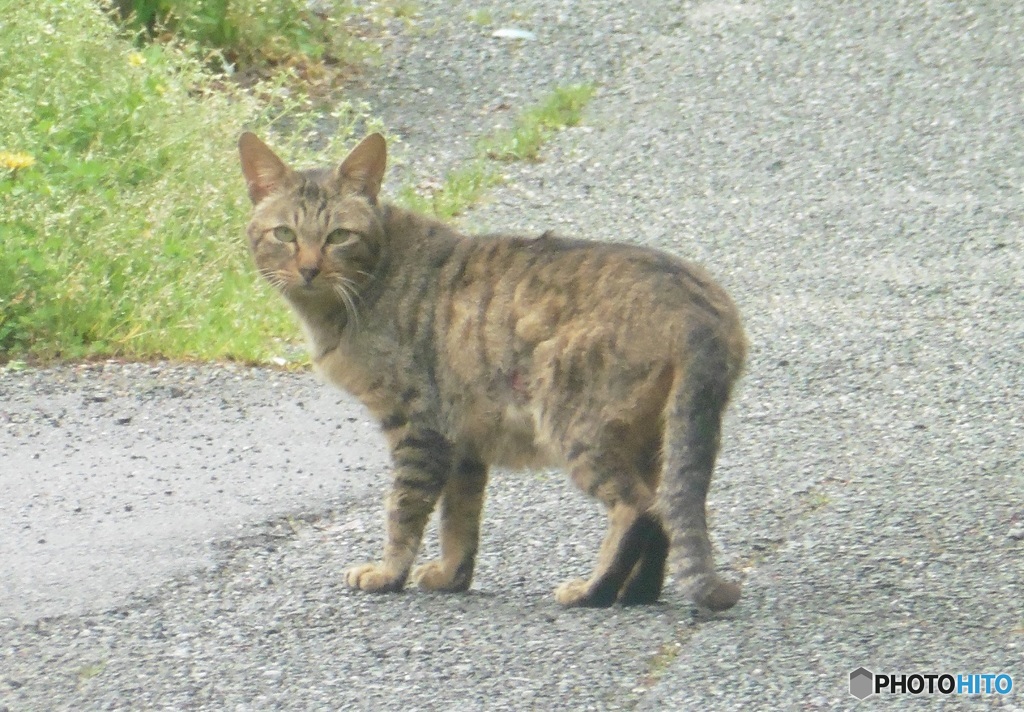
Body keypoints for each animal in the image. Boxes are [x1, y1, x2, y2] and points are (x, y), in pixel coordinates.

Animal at [237, 131, 745, 610]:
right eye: (285, 235)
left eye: (338, 236)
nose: (308, 269)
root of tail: (702, 311)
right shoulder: (463, 438)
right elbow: (460, 519)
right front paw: (451, 576)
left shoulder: (417, 424)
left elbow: (404, 510)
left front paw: (387, 573)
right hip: (652, 438)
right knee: (664, 511)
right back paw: (637, 592)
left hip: (576, 425)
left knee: (637, 508)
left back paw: (592, 591)